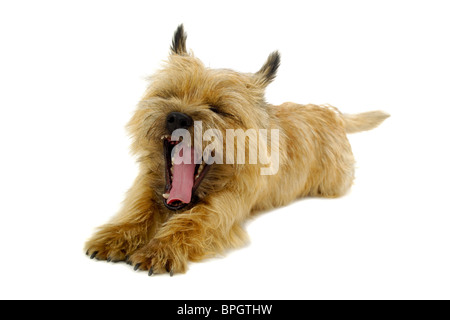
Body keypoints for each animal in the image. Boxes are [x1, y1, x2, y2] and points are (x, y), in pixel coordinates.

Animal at [85, 25, 390, 276]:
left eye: (218, 109)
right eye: (169, 94)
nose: (178, 117)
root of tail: (332, 115)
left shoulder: (225, 206)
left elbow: (194, 221)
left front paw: (161, 249)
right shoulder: (147, 185)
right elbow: (137, 208)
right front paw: (117, 234)